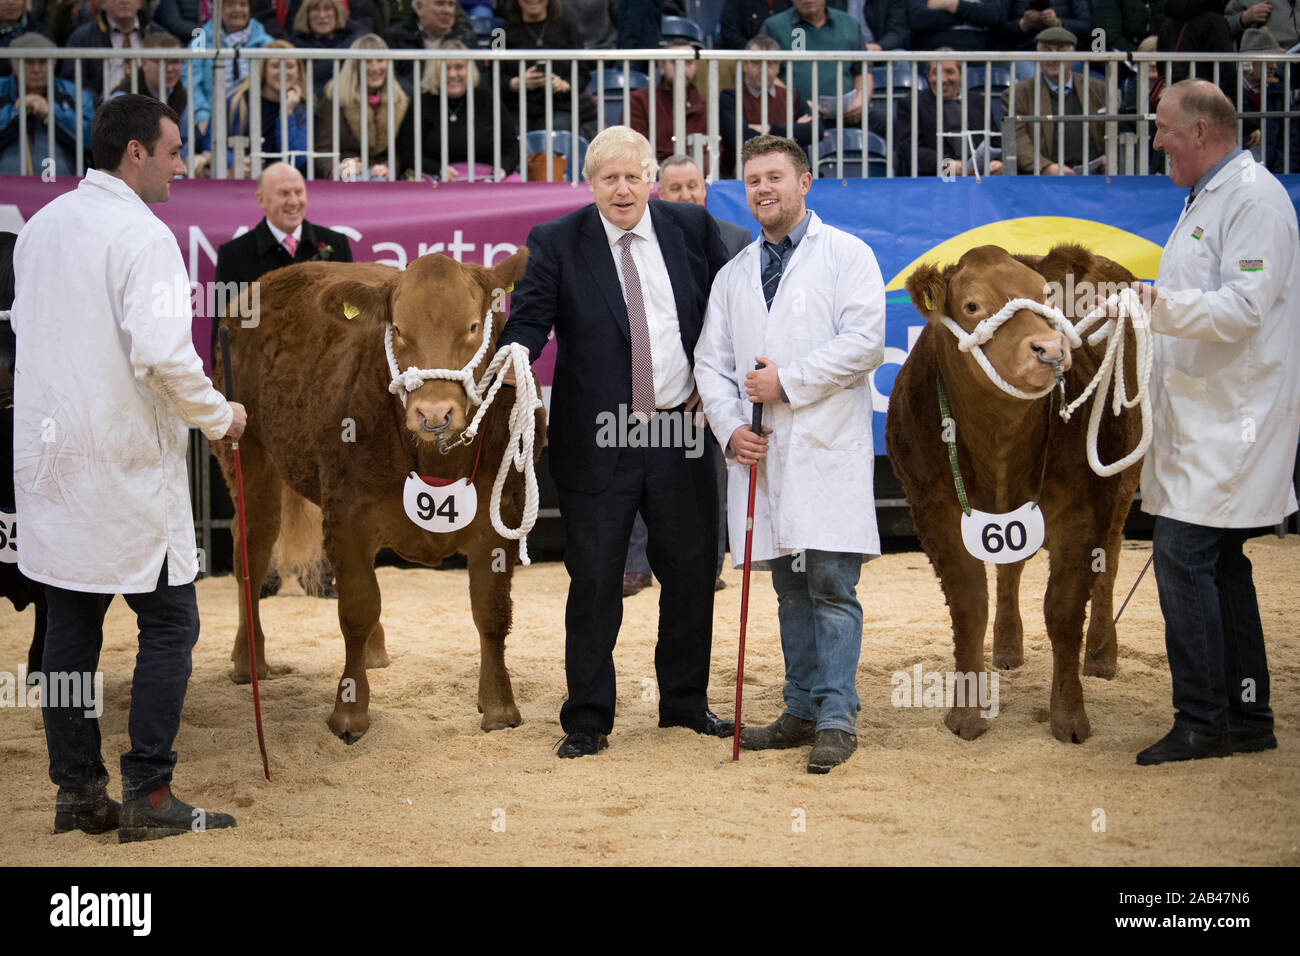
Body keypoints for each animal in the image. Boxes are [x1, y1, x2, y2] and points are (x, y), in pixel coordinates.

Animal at [211, 247, 543, 738]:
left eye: (472, 326)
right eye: (399, 329)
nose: (433, 413)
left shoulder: (501, 515)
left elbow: (491, 612)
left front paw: (500, 706)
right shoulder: (347, 516)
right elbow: (356, 609)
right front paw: (349, 711)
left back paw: (375, 649)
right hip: (247, 455)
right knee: (251, 549)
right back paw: (246, 659)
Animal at [883, 243, 1149, 743]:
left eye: (1045, 294)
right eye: (972, 305)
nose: (1050, 348)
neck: (999, 441)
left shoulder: (1082, 509)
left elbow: (1063, 611)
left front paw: (1070, 718)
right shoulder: (935, 511)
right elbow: (970, 607)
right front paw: (967, 715)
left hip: (1126, 475)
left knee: (1110, 559)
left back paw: (1101, 654)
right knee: (1010, 571)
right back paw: (1007, 648)